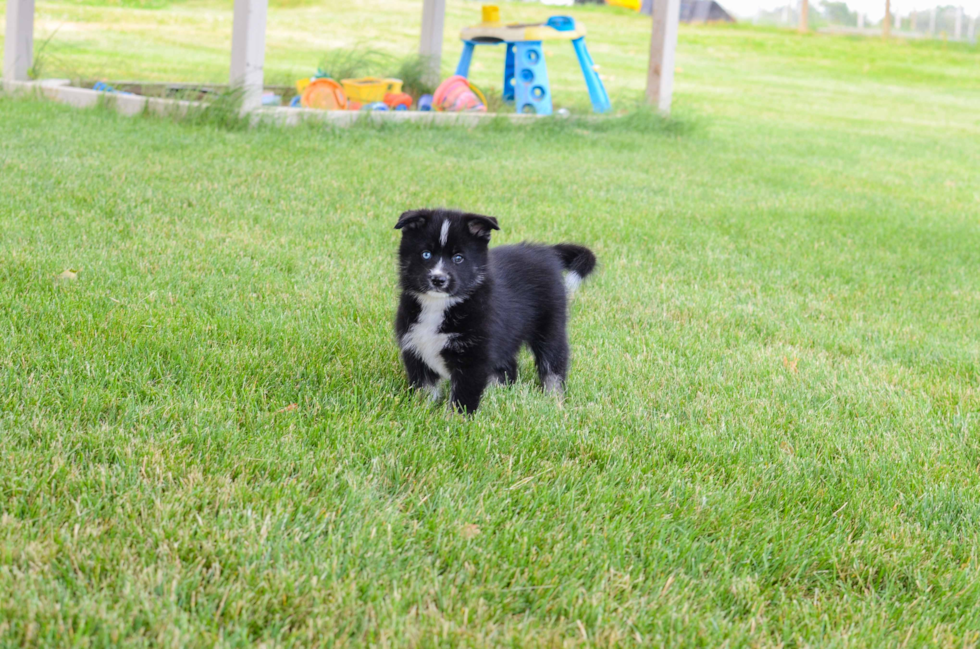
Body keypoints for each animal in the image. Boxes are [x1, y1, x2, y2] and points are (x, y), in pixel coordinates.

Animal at [392, 208, 592, 416]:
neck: (439, 305)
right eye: (426, 254)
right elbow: (424, 389)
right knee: (507, 366)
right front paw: (420, 410)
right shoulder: (416, 347)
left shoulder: (474, 356)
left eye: (458, 258)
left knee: (553, 363)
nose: (438, 280)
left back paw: (555, 401)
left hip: (550, 325)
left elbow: (463, 395)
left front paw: (456, 419)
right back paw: (499, 393)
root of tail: (545, 251)